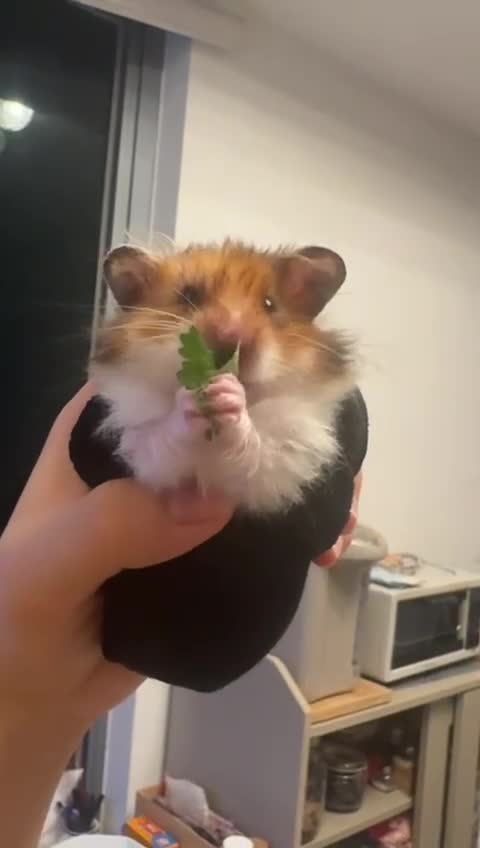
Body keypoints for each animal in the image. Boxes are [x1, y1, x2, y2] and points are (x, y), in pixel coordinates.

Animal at [91, 241, 356, 514]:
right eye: (190, 295)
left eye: (270, 303)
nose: (232, 339)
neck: (212, 435)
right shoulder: (145, 451)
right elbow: (165, 438)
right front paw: (194, 396)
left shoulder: (279, 461)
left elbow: (256, 450)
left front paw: (227, 391)